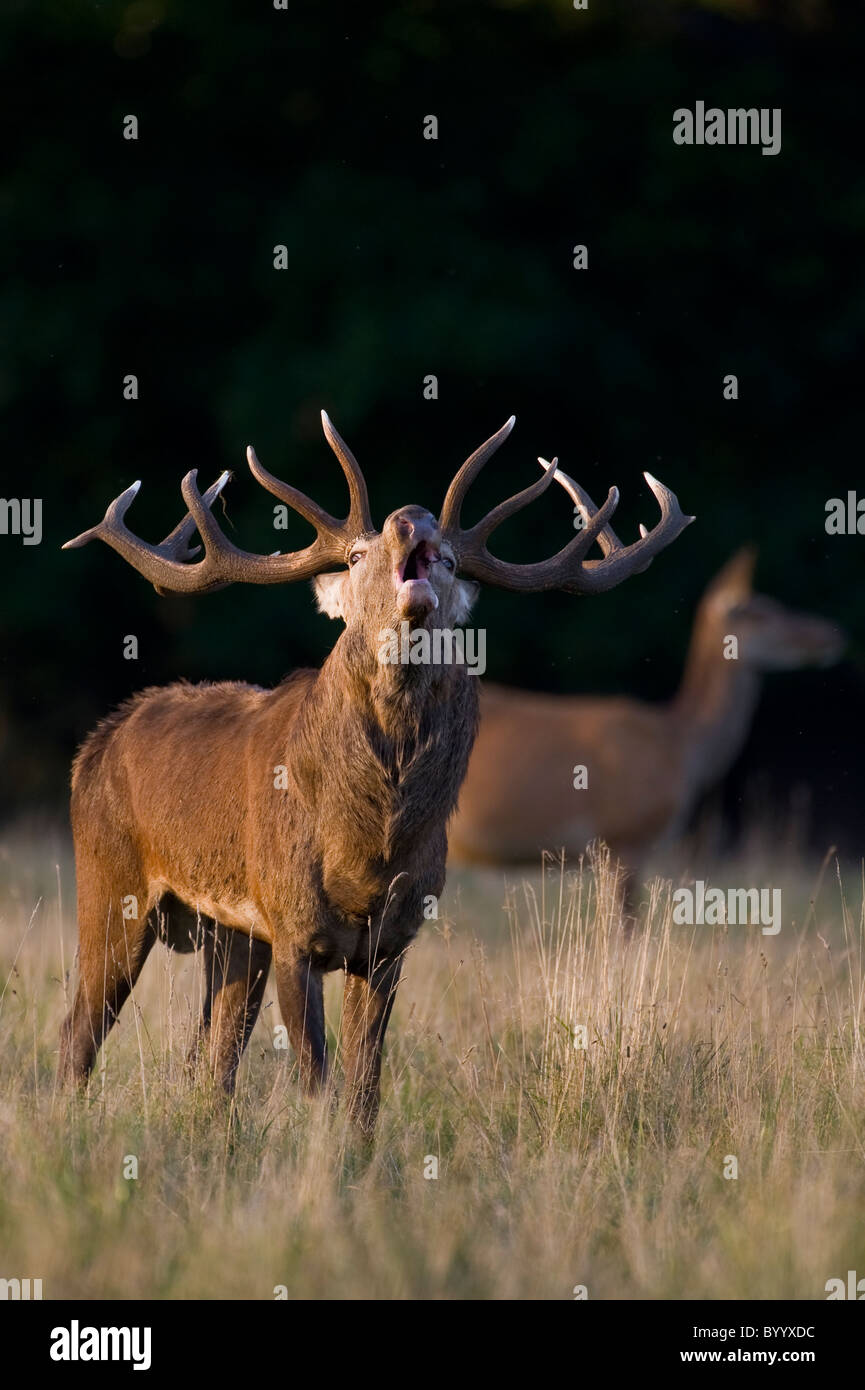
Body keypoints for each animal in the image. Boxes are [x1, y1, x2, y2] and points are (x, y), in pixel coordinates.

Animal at [61, 414, 695, 1128]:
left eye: (450, 560)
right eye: (356, 558)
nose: (410, 520)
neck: (369, 846)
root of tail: (96, 744)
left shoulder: (390, 941)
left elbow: (365, 1087)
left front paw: (356, 1151)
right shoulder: (292, 924)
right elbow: (317, 1079)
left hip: (230, 935)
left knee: (209, 1060)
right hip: (110, 882)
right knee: (80, 1030)